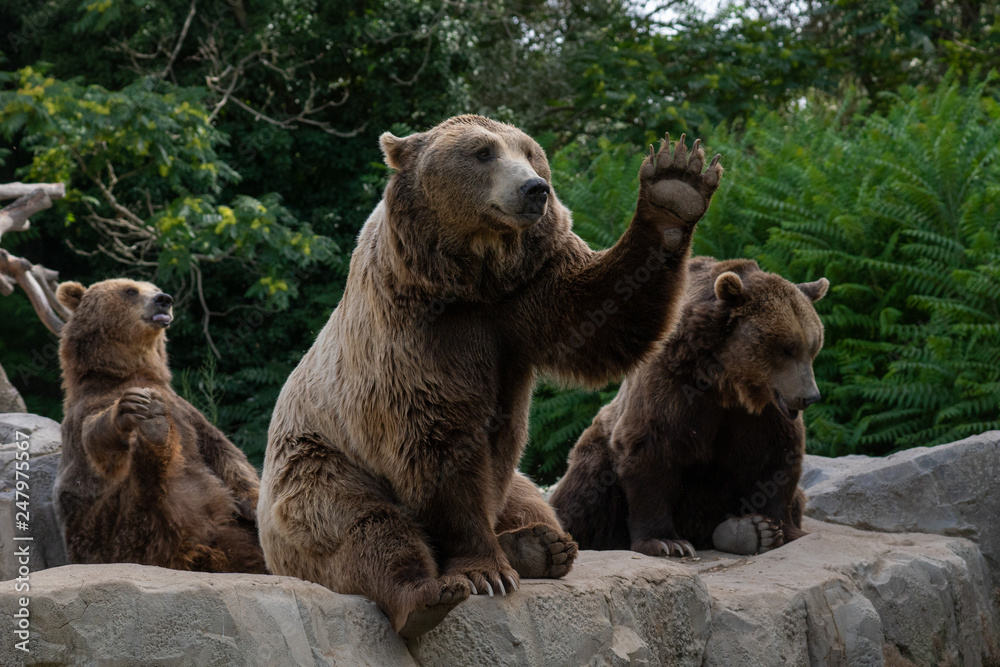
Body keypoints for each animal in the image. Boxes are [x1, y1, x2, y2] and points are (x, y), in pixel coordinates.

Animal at [54, 278, 266, 576]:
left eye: (153, 287)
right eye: (130, 290)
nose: (164, 299)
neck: (128, 372)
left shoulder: (188, 413)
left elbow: (227, 455)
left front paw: (257, 506)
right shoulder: (87, 409)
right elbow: (98, 445)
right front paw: (132, 408)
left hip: (232, 532)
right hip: (105, 532)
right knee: (147, 502)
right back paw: (156, 433)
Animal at [258, 113, 728, 636]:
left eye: (529, 152)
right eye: (483, 152)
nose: (535, 189)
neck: (471, 278)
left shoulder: (530, 290)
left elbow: (604, 313)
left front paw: (675, 184)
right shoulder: (413, 334)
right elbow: (439, 446)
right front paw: (485, 572)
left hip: (514, 485)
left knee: (533, 502)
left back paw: (542, 545)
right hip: (316, 468)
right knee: (363, 526)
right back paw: (427, 594)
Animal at [548, 260, 828, 560]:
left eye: (812, 347)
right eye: (786, 348)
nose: (810, 397)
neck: (726, 383)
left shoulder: (763, 412)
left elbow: (777, 456)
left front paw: (771, 529)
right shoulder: (673, 384)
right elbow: (652, 448)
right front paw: (667, 542)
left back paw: (743, 533)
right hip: (595, 450)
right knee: (587, 489)